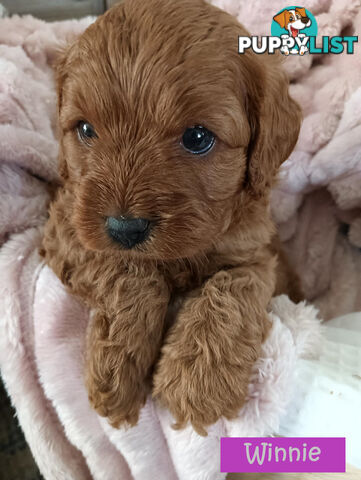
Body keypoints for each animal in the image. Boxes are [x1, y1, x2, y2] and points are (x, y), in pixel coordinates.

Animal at [41, 0, 300, 436]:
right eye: (86, 129)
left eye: (197, 138)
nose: (125, 228)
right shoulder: (67, 222)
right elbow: (129, 272)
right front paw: (119, 371)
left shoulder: (258, 252)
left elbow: (235, 287)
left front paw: (197, 378)